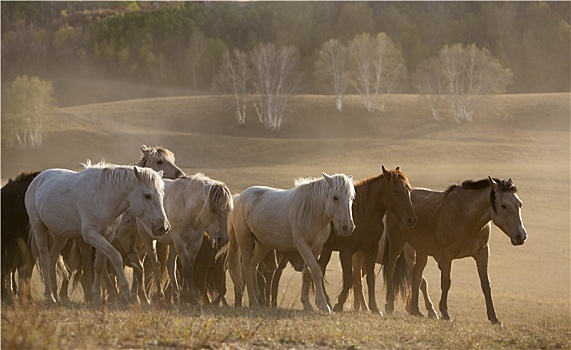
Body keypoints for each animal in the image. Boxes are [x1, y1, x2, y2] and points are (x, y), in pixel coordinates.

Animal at [26, 161, 170, 304]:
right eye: (147, 195)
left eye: (162, 195)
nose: (163, 227)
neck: (102, 196)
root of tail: (37, 179)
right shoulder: (92, 235)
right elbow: (116, 257)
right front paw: (127, 294)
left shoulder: (107, 235)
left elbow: (99, 265)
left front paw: (96, 296)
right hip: (38, 227)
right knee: (45, 259)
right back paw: (49, 296)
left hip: (61, 235)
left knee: (53, 258)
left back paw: (55, 294)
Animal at [138, 173, 232, 304]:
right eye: (213, 210)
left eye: (228, 210)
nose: (222, 239)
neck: (186, 206)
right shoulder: (180, 242)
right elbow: (187, 268)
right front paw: (190, 297)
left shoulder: (195, 242)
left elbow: (189, 267)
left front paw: (186, 294)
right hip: (148, 240)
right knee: (156, 265)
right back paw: (160, 294)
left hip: (172, 245)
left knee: (170, 266)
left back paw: (176, 294)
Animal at [226, 172, 356, 312]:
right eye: (335, 197)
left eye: (351, 197)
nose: (348, 227)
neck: (312, 211)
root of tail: (239, 197)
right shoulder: (302, 245)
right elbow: (316, 271)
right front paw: (323, 305)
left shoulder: (317, 248)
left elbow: (308, 272)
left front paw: (307, 304)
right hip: (245, 242)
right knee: (246, 268)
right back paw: (254, 302)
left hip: (262, 246)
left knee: (252, 266)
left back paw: (256, 299)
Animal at [316, 165, 418, 314]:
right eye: (395, 191)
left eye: (408, 190)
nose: (411, 219)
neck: (362, 213)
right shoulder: (346, 251)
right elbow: (349, 279)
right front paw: (339, 305)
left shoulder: (371, 249)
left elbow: (370, 278)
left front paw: (374, 307)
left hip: (326, 249)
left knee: (319, 269)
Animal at [384, 178, 528, 326]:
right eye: (503, 206)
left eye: (520, 204)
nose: (521, 236)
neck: (465, 216)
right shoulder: (446, 256)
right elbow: (446, 282)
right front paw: (445, 314)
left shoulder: (482, 253)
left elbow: (485, 284)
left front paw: (494, 318)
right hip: (397, 243)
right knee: (390, 268)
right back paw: (390, 306)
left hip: (422, 250)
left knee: (417, 275)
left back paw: (416, 311)